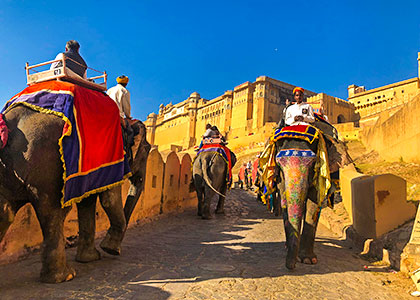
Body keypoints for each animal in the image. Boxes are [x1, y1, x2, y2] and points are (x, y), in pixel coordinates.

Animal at [0, 82, 150, 284]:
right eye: (147, 149)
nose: (114, 250)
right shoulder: (115, 158)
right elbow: (108, 200)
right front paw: (108, 250)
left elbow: (87, 202)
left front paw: (91, 258)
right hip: (48, 166)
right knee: (53, 212)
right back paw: (65, 276)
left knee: (5, 211)